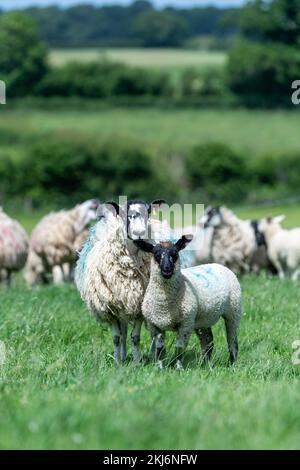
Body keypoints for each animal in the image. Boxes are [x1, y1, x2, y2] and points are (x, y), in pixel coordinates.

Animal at [74, 198, 165, 364]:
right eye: (125, 214)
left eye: (148, 212)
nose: (139, 233)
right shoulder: (109, 309)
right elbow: (116, 338)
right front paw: (117, 363)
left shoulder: (139, 307)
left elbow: (135, 338)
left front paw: (137, 362)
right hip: (121, 307)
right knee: (123, 333)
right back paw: (122, 357)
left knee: (151, 334)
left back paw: (153, 354)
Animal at [135, 235, 243, 370]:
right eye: (156, 255)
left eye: (175, 254)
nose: (167, 269)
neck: (164, 306)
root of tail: (218, 264)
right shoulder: (154, 325)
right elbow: (160, 349)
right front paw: (159, 368)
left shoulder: (185, 323)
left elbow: (179, 348)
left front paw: (179, 368)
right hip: (202, 318)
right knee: (208, 341)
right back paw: (204, 364)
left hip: (233, 310)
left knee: (232, 340)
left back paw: (231, 363)